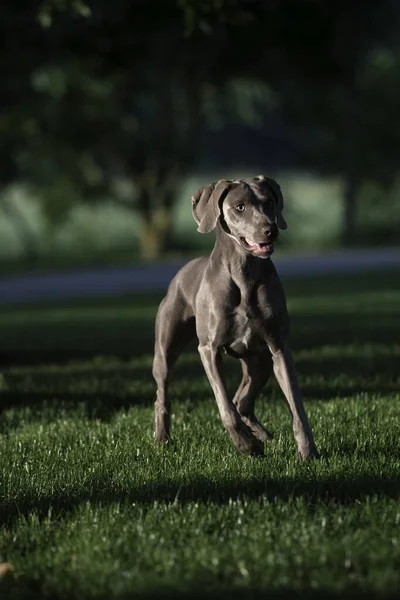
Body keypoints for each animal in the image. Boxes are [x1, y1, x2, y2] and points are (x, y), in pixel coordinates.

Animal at [152, 173, 318, 460]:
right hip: (165, 349)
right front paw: (246, 446)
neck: (244, 273)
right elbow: (224, 407)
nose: (270, 229)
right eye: (239, 207)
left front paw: (308, 451)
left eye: (269, 202)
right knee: (163, 393)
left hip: (260, 362)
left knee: (243, 401)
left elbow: (296, 405)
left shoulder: (279, 348)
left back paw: (261, 435)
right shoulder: (209, 349)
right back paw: (162, 438)